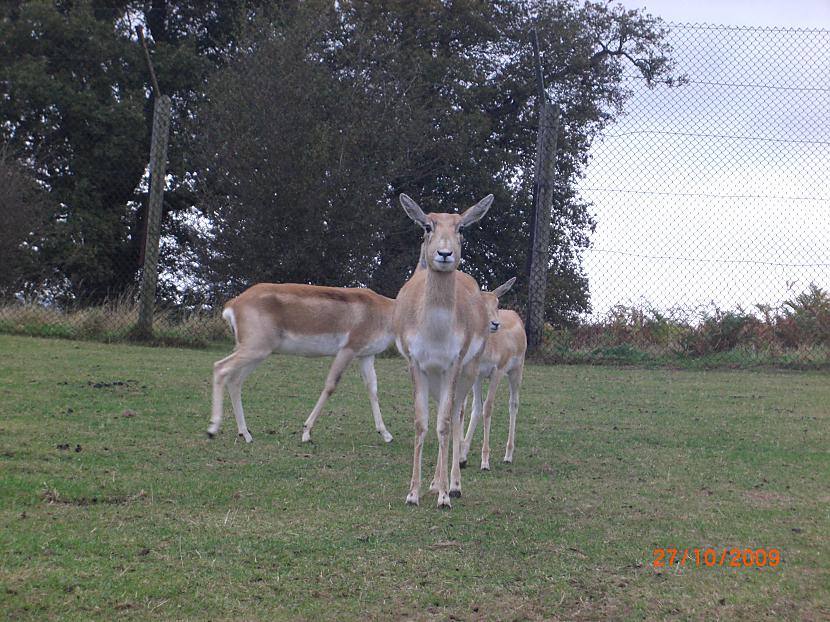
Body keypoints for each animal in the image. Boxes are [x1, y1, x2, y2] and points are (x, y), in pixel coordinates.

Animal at [211, 286, 400, 446]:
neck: (384, 310)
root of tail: (234, 304)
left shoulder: (366, 355)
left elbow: (372, 389)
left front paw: (385, 434)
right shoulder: (347, 350)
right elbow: (331, 385)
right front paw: (306, 433)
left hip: (257, 353)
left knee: (235, 380)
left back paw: (245, 434)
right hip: (254, 349)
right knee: (220, 367)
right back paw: (212, 429)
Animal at [394, 193, 494, 510]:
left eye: (461, 228)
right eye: (427, 225)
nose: (444, 253)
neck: (435, 332)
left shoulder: (453, 364)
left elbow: (445, 423)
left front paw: (443, 498)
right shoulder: (416, 364)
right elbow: (422, 423)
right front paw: (413, 494)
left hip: (468, 371)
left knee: (457, 414)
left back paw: (453, 486)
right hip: (436, 377)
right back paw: (435, 482)